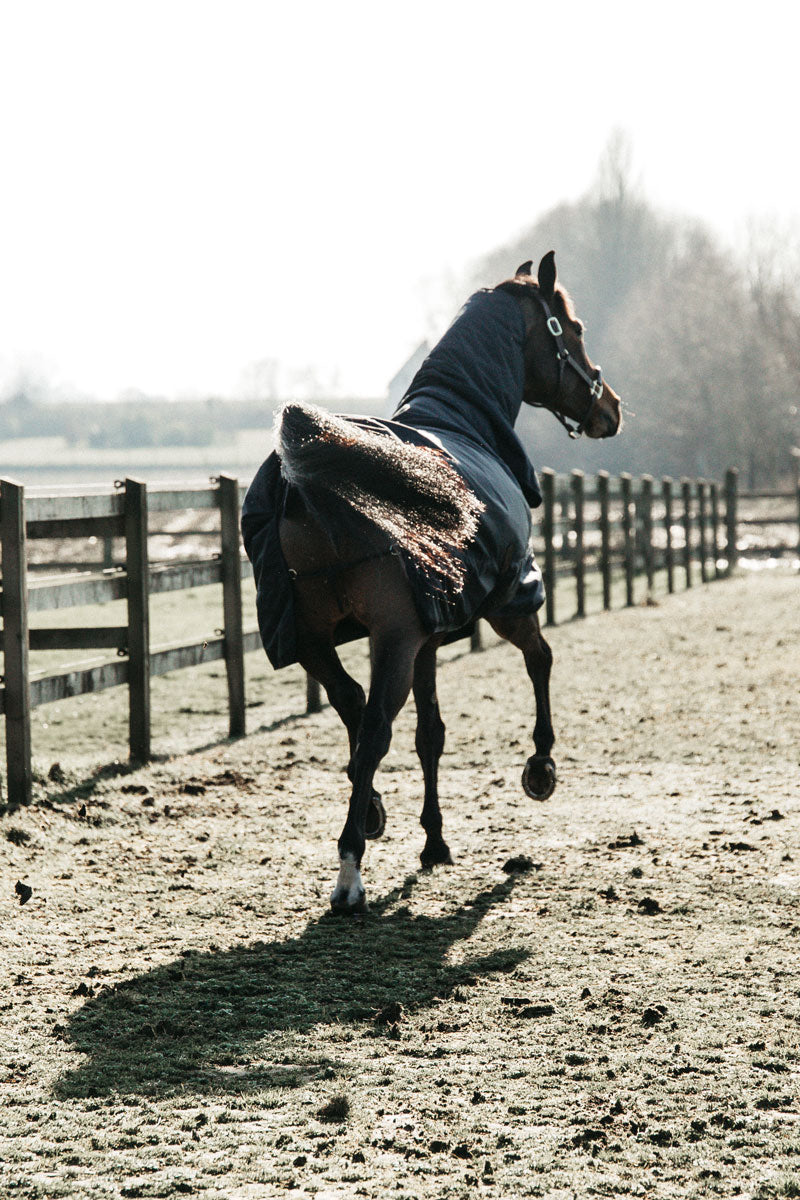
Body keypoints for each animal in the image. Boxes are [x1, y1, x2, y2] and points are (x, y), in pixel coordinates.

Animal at [241, 250, 623, 907]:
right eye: (572, 329)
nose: (611, 408)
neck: (461, 418)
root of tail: (307, 475)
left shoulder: (428, 636)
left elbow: (431, 735)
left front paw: (434, 840)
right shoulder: (506, 599)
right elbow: (541, 661)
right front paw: (540, 768)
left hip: (313, 638)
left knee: (353, 707)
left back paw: (369, 811)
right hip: (394, 637)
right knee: (373, 727)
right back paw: (349, 871)